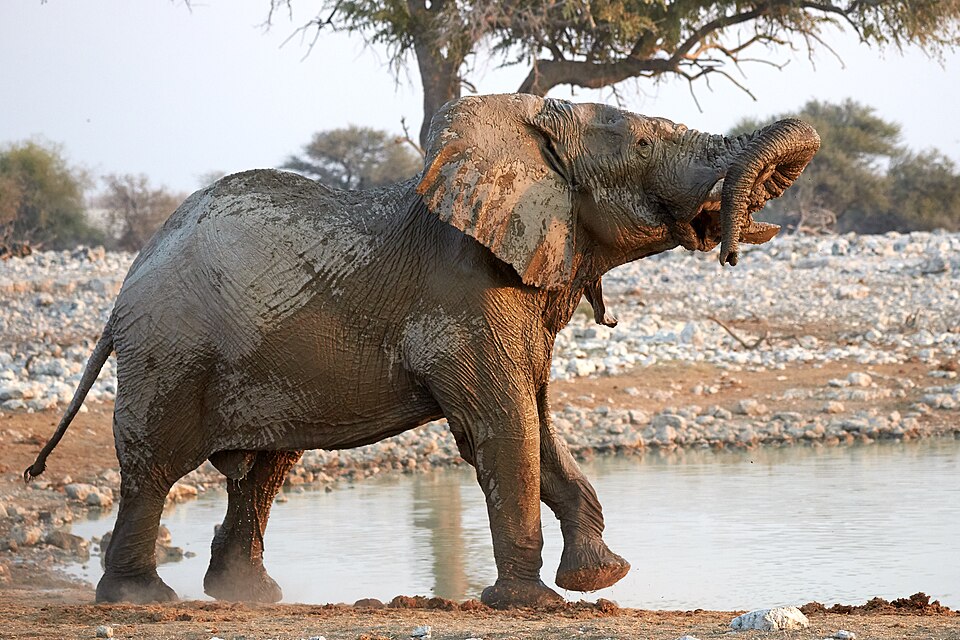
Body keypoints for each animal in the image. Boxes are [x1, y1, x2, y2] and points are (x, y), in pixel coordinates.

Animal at [25, 93, 819, 608]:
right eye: (647, 145)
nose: (729, 249)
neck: (527, 125)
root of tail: (129, 280)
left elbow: (536, 419)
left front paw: (601, 579)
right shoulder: (464, 294)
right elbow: (505, 424)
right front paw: (533, 604)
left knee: (265, 467)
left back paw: (249, 597)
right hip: (170, 349)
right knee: (154, 469)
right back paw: (140, 599)